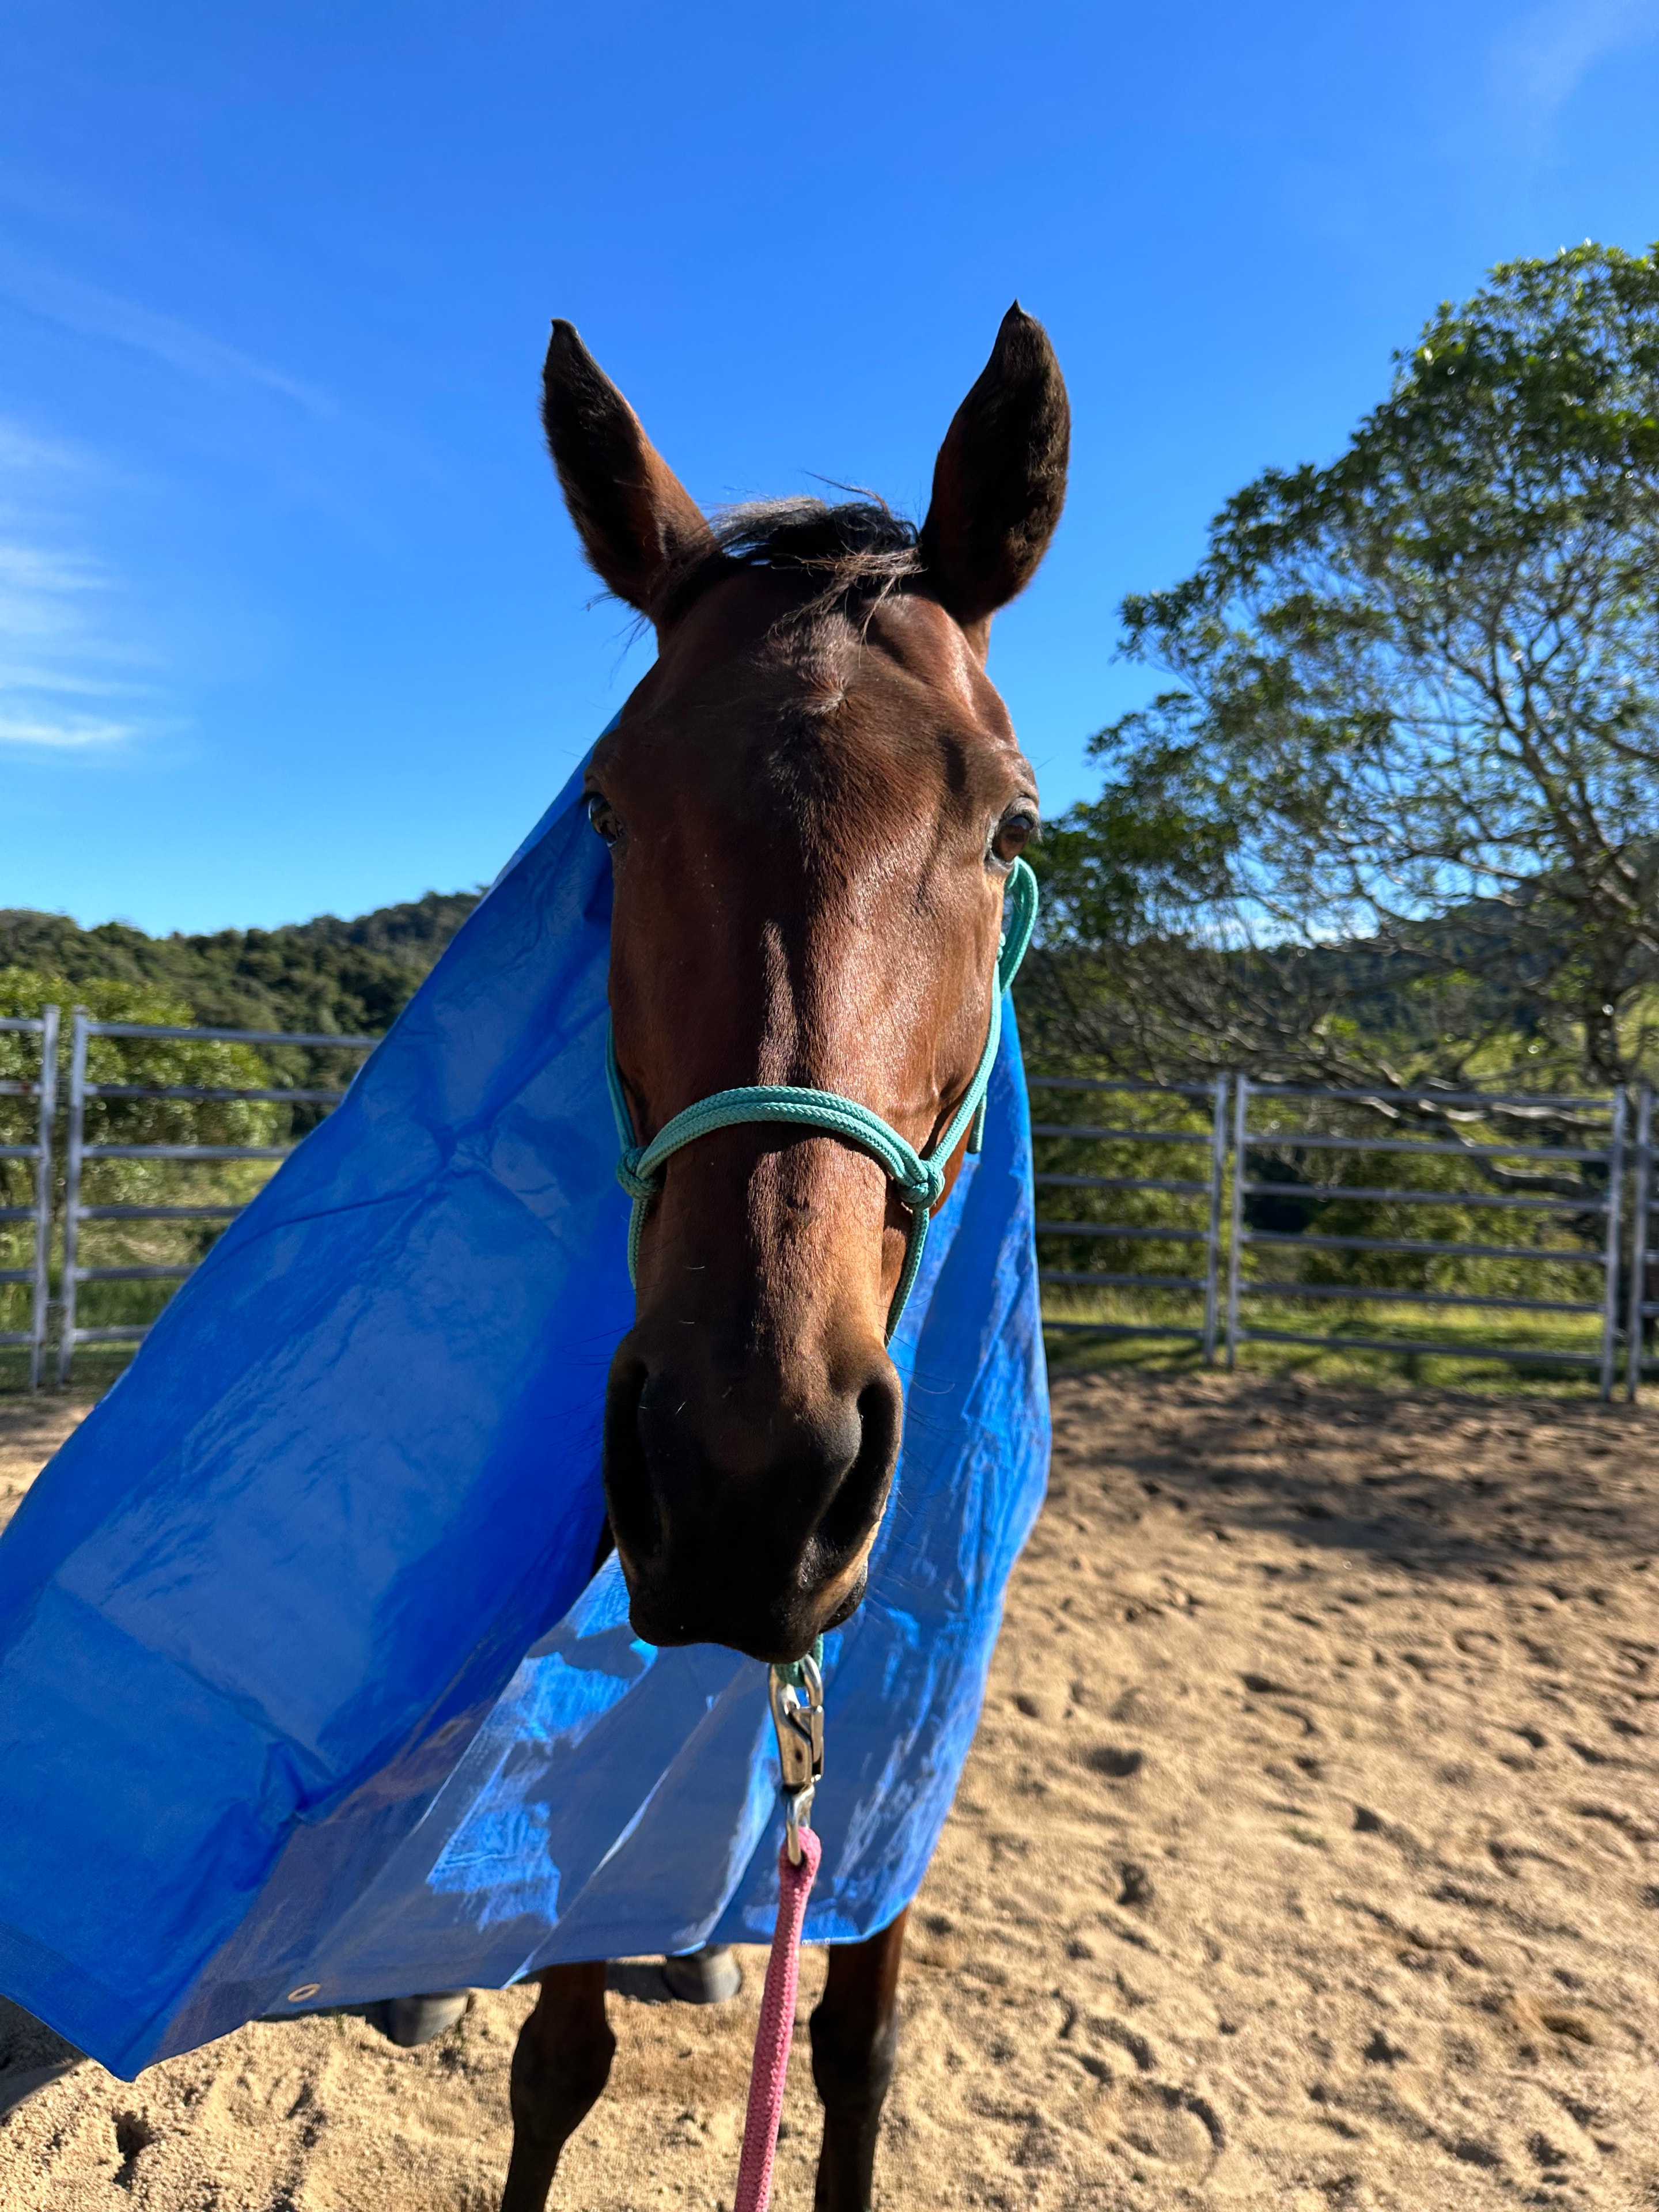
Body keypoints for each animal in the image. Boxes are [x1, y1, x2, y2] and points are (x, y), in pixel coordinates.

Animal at [500, 303, 1069, 2212]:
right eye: (608, 810)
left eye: (1011, 826)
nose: (749, 1469)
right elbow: (558, 2057)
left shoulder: (904, 1710)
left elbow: (856, 2051)